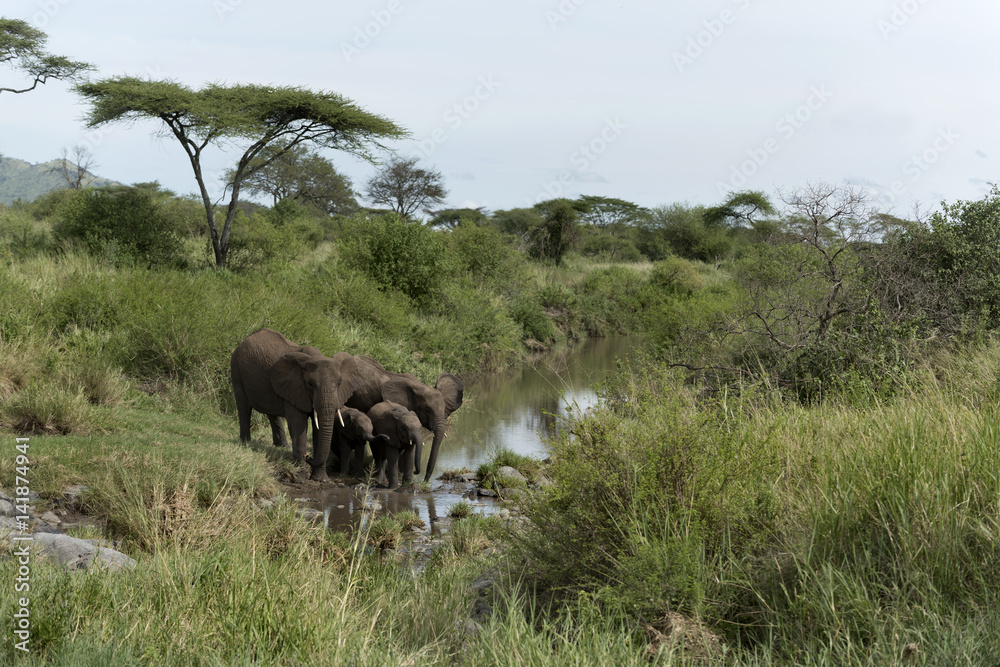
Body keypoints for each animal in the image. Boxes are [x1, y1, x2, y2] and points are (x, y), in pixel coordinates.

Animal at [230, 328, 360, 482]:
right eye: (311, 384)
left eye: (340, 383)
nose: (308, 457)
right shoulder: (295, 388)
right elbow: (298, 426)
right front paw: (300, 480)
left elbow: (318, 430)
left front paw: (321, 480)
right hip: (236, 368)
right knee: (244, 408)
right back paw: (246, 443)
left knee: (272, 413)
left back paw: (282, 447)